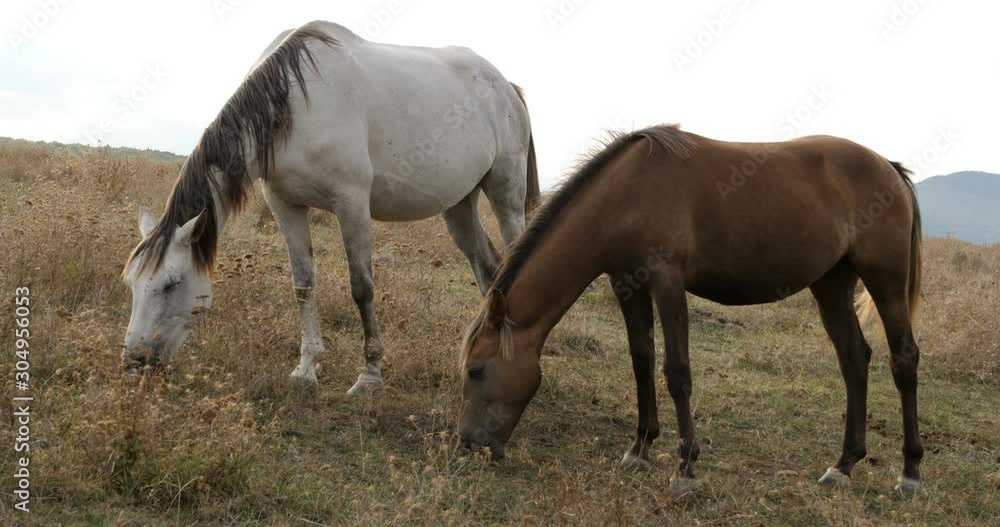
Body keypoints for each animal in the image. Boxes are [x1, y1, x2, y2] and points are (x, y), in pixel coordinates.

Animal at [122, 21, 538, 395]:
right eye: (132, 284)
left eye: (171, 283)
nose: (134, 362)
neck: (294, 105)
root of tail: (507, 87)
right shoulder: (285, 205)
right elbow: (303, 284)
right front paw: (306, 368)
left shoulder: (351, 203)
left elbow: (362, 287)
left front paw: (370, 375)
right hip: (459, 206)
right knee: (489, 270)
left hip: (505, 193)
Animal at [458, 124, 925, 496]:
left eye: (476, 370)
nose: (467, 446)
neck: (625, 194)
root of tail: (889, 167)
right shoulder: (627, 285)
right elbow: (642, 362)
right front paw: (639, 448)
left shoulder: (667, 283)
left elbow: (677, 372)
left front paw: (686, 468)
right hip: (831, 284)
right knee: (854, 360)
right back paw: (843, 464)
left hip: (885, 282)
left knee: (903, 360)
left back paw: (910, 473)